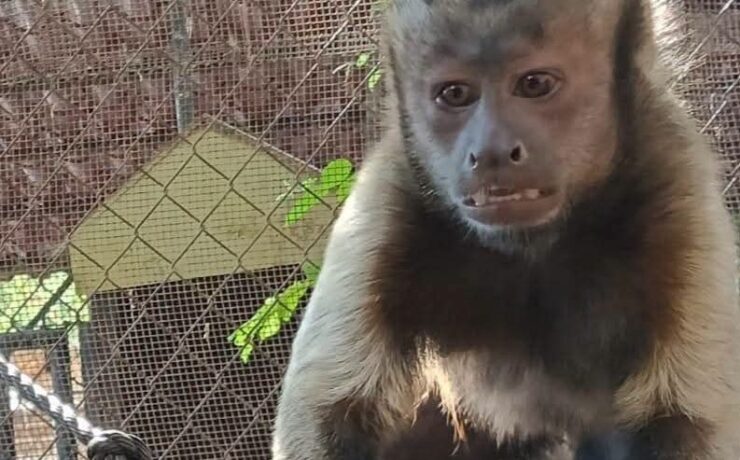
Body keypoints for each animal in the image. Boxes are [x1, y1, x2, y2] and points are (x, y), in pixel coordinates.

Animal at [271, 0, 740, 458]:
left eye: (534, 84)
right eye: (455, 94)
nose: (491, 151)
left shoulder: (675, 182)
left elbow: (684, 424)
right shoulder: (388, 200)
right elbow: (326, 416)